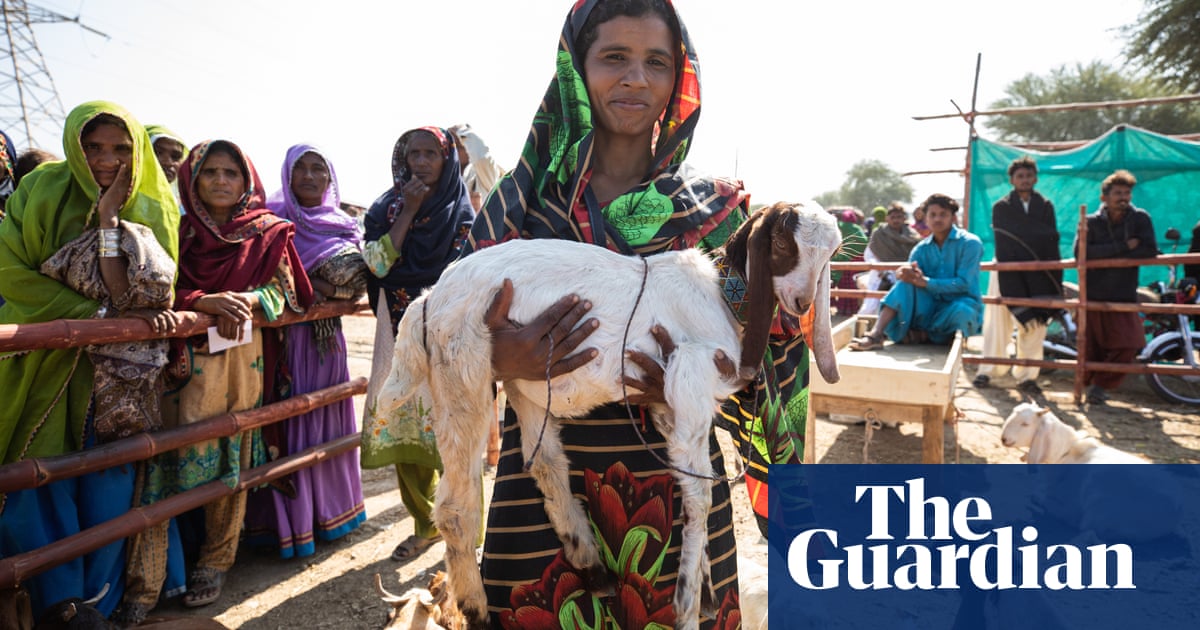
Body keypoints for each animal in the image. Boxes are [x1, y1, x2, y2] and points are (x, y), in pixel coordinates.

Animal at [379, 202, 840, 628]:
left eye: (831, 254)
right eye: (780, 243)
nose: (801, 302)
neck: (721, 300)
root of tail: (429, 298)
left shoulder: (668, 408)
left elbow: (695, 481)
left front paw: (707, 591)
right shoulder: (688, 383)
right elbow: (700, 494)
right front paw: (688, 605)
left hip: (523, 383)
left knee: (545, 462)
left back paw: (592, 564)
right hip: (464, 378)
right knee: (456, 509)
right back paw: (476, 610)